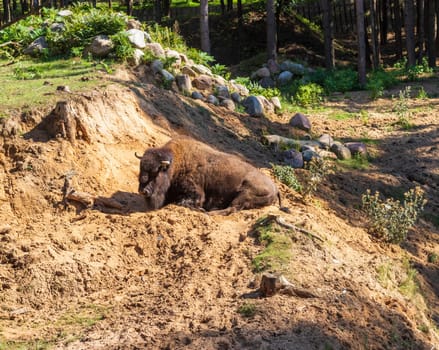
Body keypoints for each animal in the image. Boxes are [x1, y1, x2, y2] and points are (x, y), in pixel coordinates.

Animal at [135, 136, 282, 213]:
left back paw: (210, 212)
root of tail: (275, 188)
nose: (143, 191)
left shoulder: (196, 192)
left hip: (244, 193)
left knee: (231, 208)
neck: (176, 163)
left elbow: (185, 201)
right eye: (141, 169)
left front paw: (199, 208)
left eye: (156, 172)